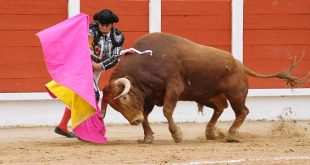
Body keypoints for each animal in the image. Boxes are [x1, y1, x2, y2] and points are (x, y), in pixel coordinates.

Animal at [102, 32, 306, 143]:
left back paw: (231, 135)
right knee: (221, 107)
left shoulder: (173, 87)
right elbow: (146, 116)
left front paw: (177, 135)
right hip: (207, 96)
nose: (133, 121)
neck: (145, 63)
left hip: (236, 94)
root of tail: (240, 65)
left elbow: (167, 110)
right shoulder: (149, 97)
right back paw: (211, 133)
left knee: (242, 111)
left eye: (124, 98)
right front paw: (148, 137)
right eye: (115, 107)